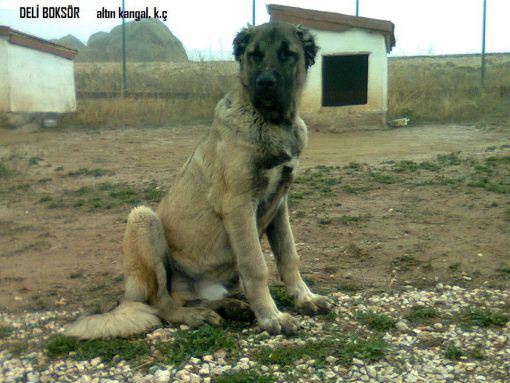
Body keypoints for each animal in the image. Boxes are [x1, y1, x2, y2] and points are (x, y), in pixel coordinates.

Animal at [63, 21, 332, 340]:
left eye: (287, 53)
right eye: (254, 55)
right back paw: (197, 316)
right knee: (163, 304)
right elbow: (256, 265)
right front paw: (271, 317)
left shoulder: (279, 204)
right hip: (143, 218)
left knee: (187, 297)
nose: (265, 83)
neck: (273, 123)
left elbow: (289, 256)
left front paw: (304, 298)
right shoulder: (239, 205)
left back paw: (229, 306)